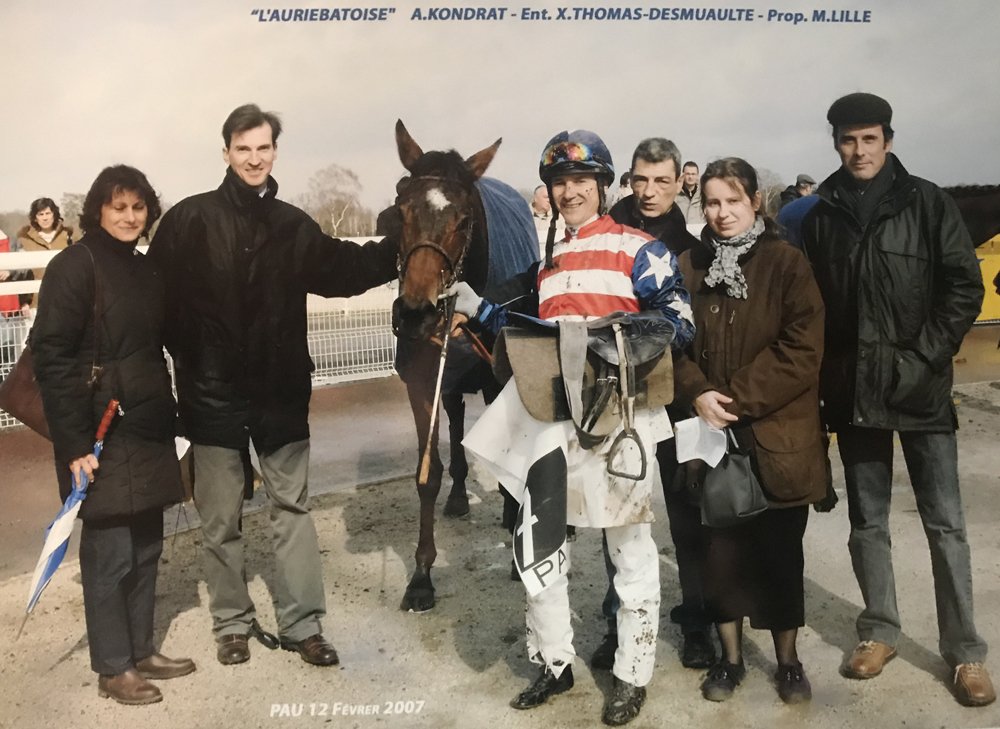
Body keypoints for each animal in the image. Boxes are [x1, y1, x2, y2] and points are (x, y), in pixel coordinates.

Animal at [390, 120, 538, 611]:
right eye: (400, 208)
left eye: (465, 219)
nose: (415, 313)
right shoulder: (421, 380)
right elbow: (428, 471)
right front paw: (421, 574)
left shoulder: (500, 376)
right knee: (454, 417)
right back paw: (458, 494)